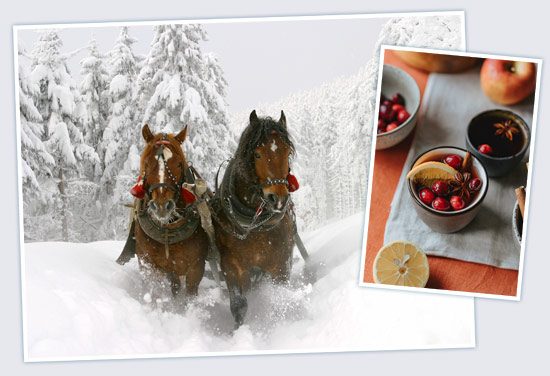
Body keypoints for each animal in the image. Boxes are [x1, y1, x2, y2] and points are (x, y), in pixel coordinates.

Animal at [127, 125, 209, 302]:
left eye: (178, 164)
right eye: (146, 163)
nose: (162, 206)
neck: (167, 231)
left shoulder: (196, 267)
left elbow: (189, 296)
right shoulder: (148, 264)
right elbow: (154, 292)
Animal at [213, 110, 300, 328]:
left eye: (287, 152)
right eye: (257, 154)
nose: (278, 198)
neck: (254, 225)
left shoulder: (281, 265)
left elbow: (280, 298)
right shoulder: (232, 266)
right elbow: (238, 305)